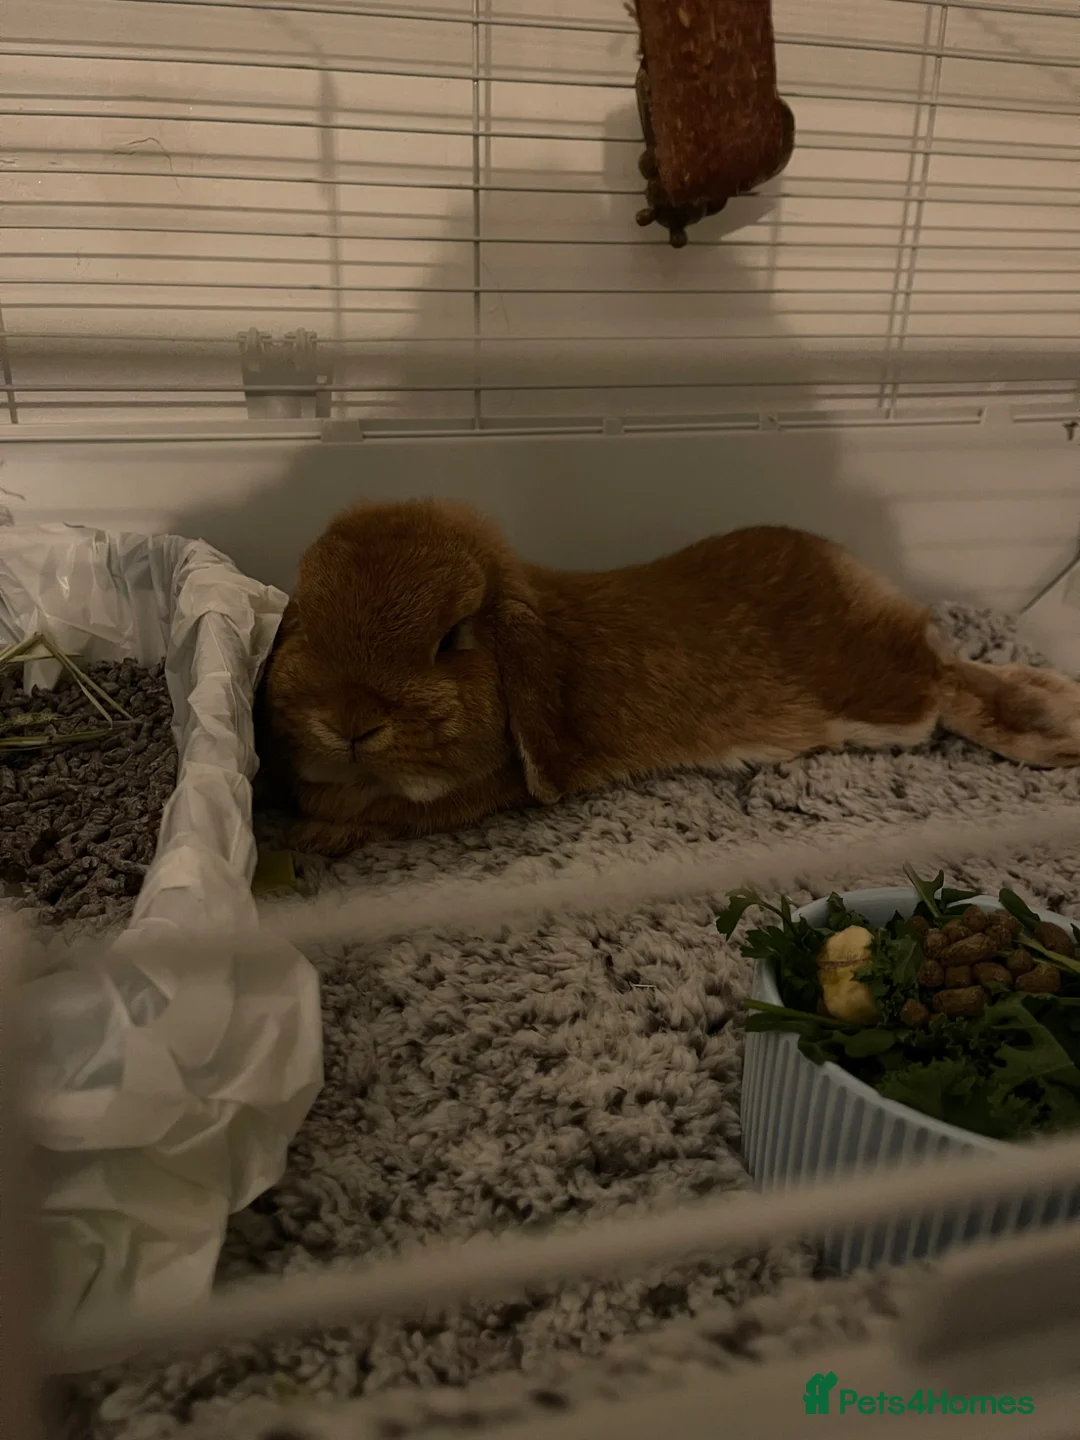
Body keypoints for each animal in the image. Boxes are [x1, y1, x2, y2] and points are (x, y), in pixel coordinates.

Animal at [257, 498, 1080, 856]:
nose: (349, 720)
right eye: (303, 614)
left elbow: (384, 816)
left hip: (884, 702)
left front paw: (311, 836)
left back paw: (1051, 726)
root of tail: (856, 577)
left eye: (451, 639)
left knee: (946, 678)